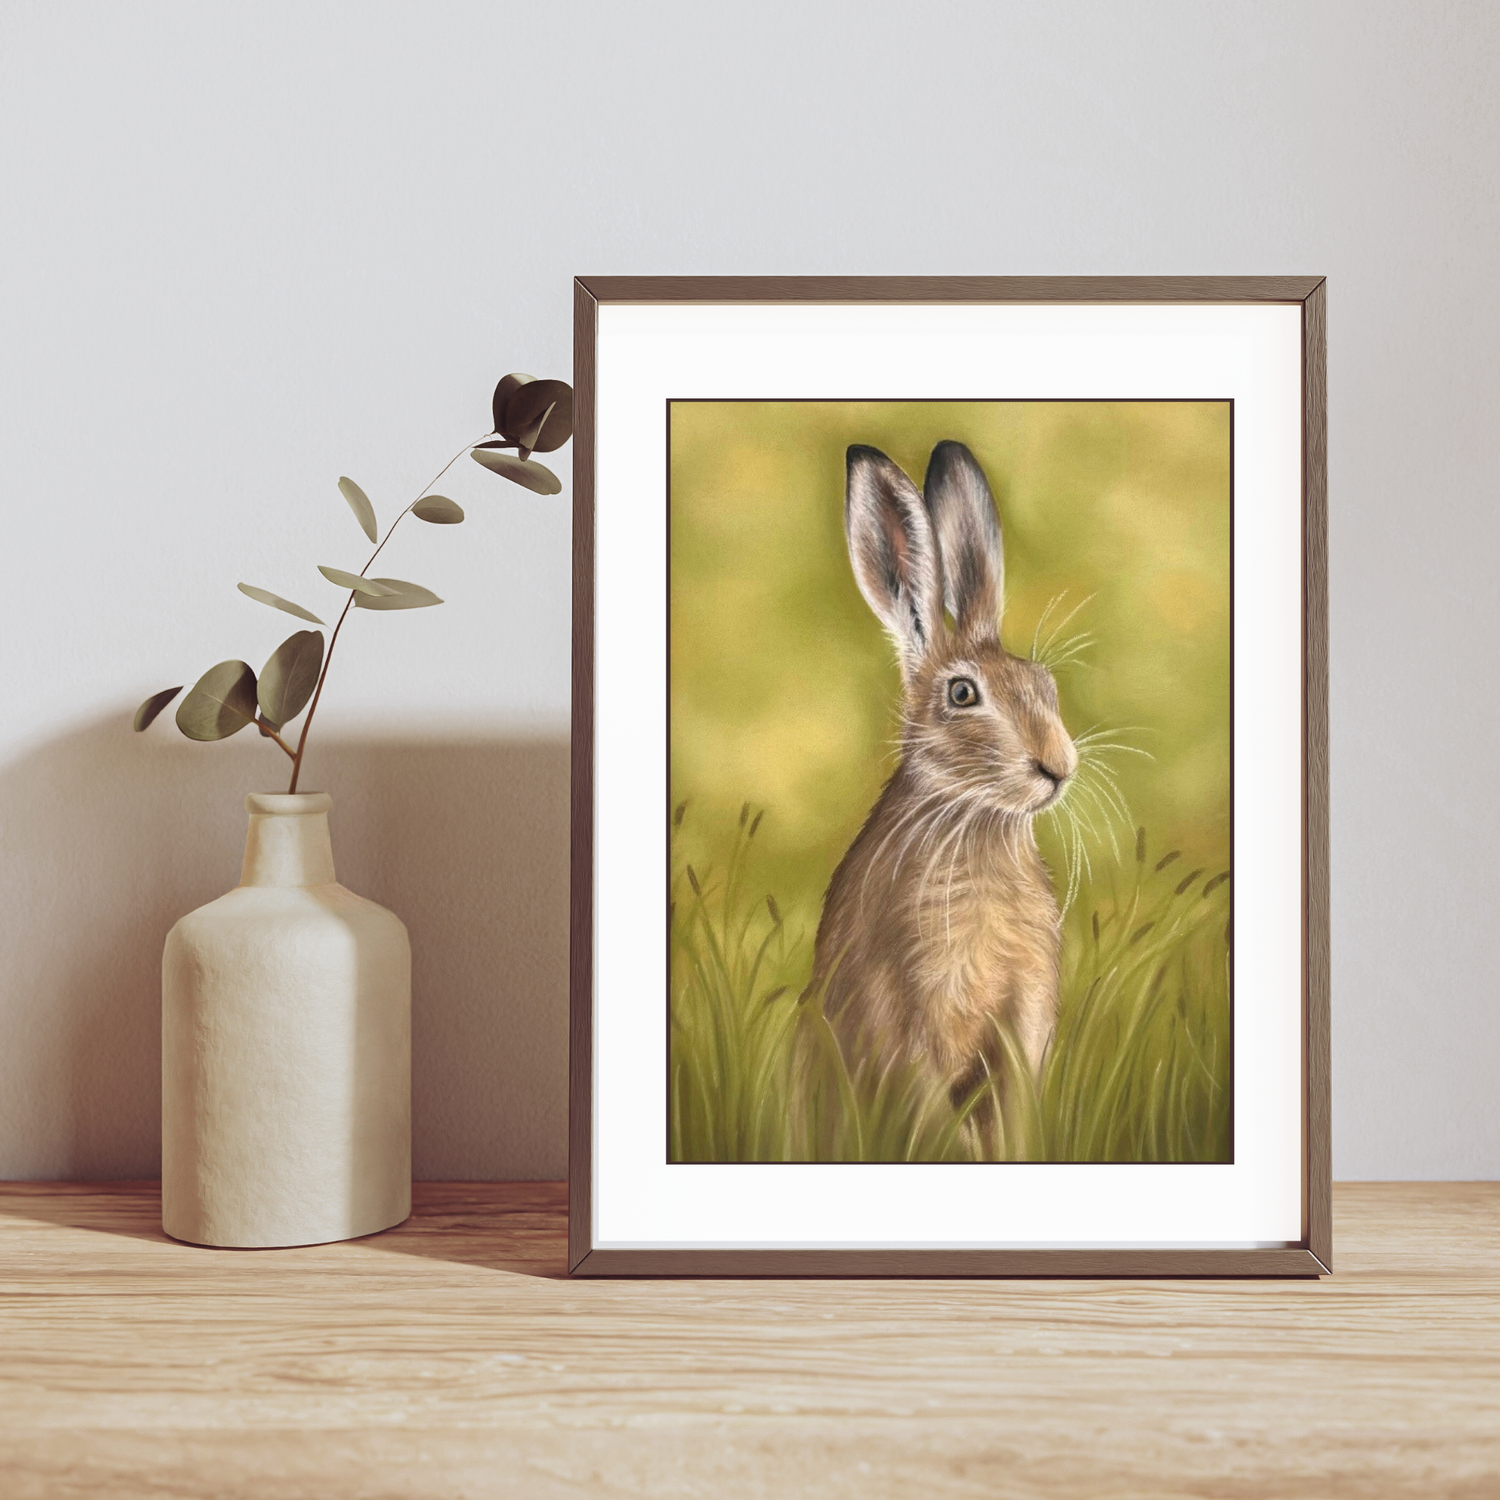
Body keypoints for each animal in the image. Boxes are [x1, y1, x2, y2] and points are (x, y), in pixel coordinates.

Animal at [807, 440, 1077, 1124]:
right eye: (961, 694)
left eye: (1044, 684)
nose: (1058, 766)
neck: (976, 821)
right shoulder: (908, 1017)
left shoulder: (1023, 1021)